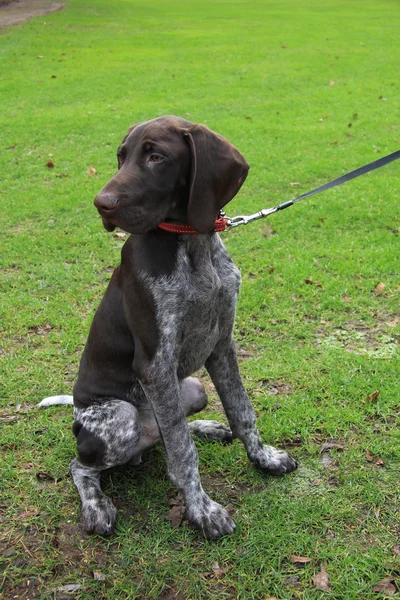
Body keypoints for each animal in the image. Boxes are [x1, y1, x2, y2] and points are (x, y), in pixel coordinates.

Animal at [40, 117, 296, 540]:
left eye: (156, 157)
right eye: (121, 157)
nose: (101, 204)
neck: (191, 243)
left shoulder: (221, 345)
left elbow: (241, 411)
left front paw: (263, 458)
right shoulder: (154, 365)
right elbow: (182, 453)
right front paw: (202, 510)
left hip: (190, 389)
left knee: (168, 431)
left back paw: (208, 426)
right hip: (119, 419)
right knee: (85, 464)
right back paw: (96, 506)